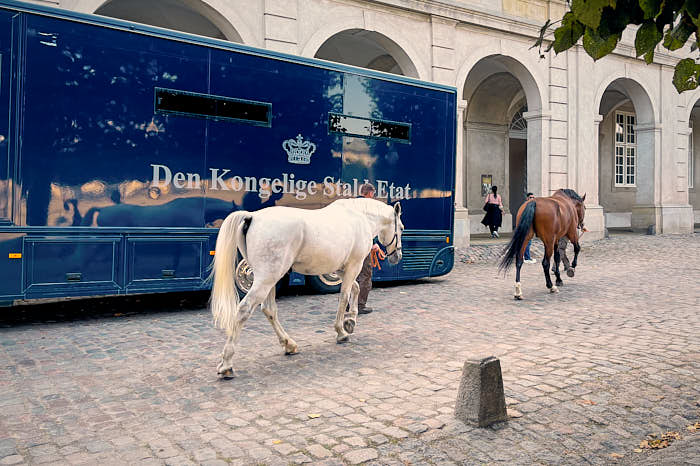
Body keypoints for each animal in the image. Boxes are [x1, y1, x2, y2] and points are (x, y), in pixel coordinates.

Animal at [211, 198, 402, 376]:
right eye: (401, 227)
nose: (397, 256)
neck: (361, 217)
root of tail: (252, 217)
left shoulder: (340, 269)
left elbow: (354, 288)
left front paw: (350, 321)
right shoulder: (354, 265)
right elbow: (344, 296)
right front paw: (341, 331)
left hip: (270, 278)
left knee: (269, 309)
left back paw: (289, 345)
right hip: (266, 279)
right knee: (245, 309)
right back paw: (227, 363)